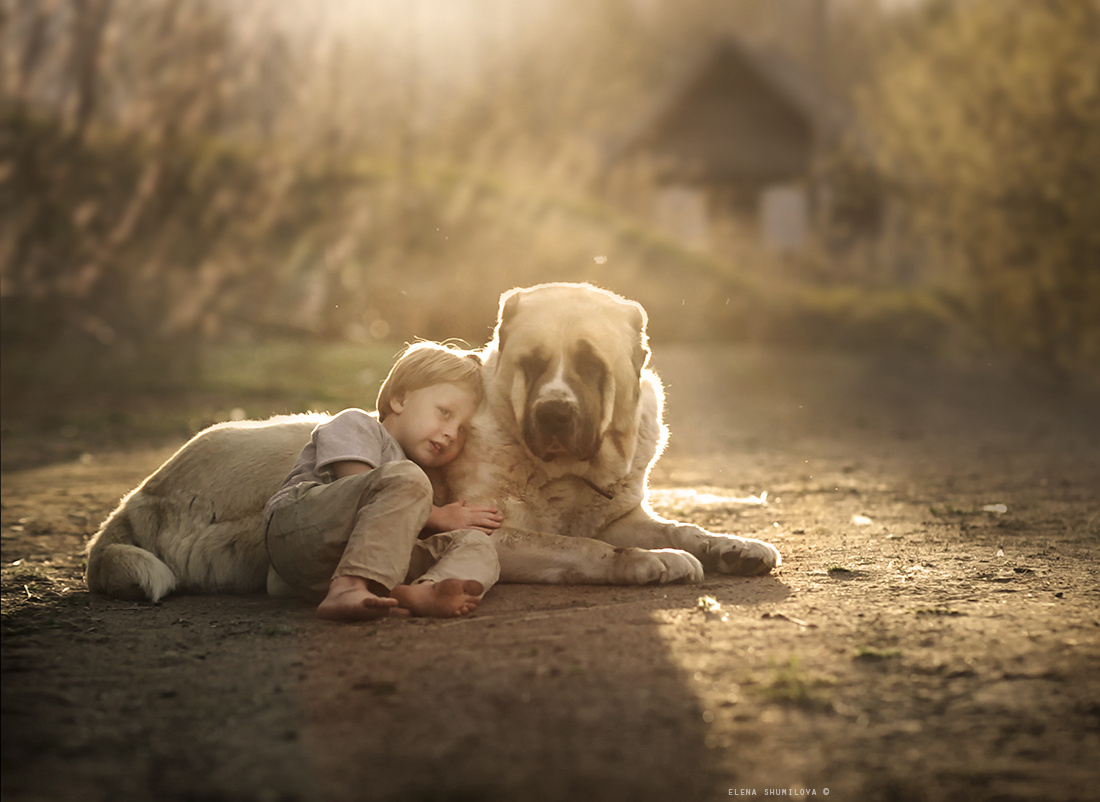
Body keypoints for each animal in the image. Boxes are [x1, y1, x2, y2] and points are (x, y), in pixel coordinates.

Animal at [85, 281, 778, 598]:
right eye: (533, 365)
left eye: (589, 366)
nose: (555, 412)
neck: (560, 475)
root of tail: (134, 501)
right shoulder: (507, 533)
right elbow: (586, 548)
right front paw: (652, 563)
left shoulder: (620, 514)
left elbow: (677, 526)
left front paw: (732, 547)